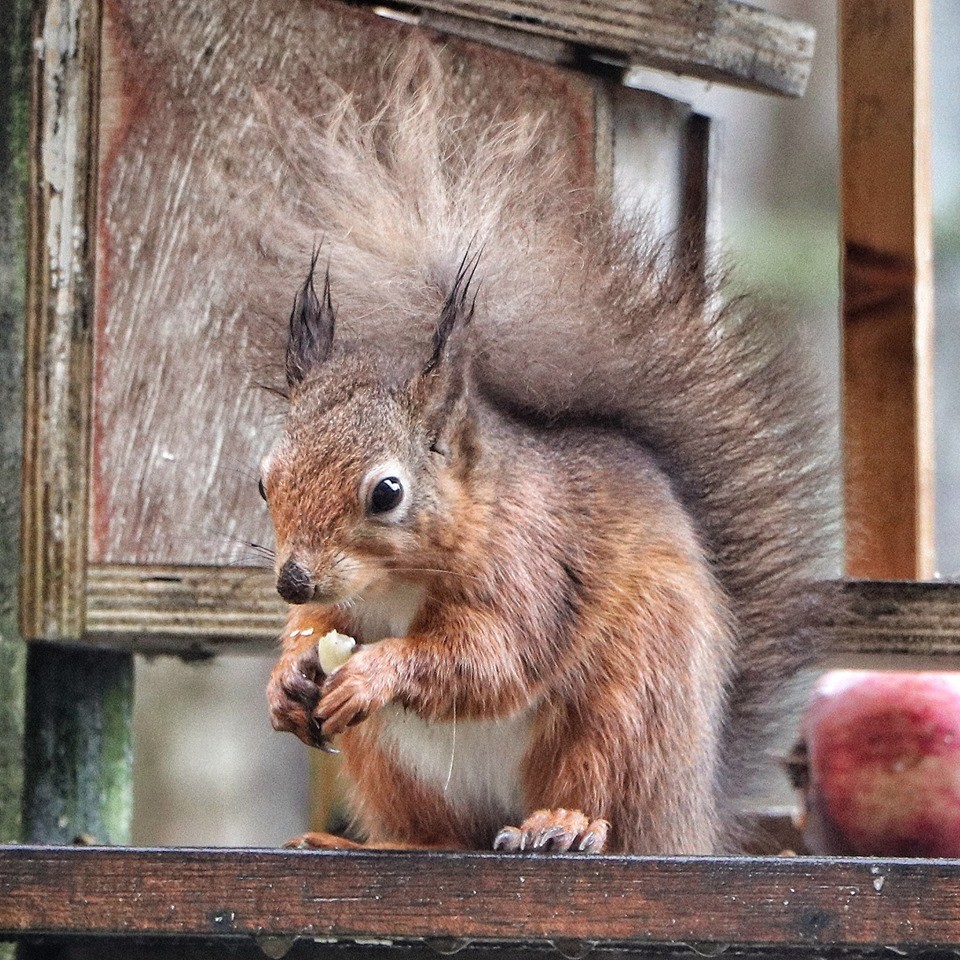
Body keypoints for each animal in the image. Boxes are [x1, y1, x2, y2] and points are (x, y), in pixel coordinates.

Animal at [258, 45, 836, 855]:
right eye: (264, 482)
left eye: (387, 492)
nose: (293, 580)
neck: (394, 585)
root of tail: (690, 814)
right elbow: (316, 634)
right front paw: (286, 680)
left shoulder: (531, 568)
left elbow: (490, 658)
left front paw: (377, 672)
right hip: (395, 768)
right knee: (436, 837)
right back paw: (363, 842)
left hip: (630, 700)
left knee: (601, 792)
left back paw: (562, 825)